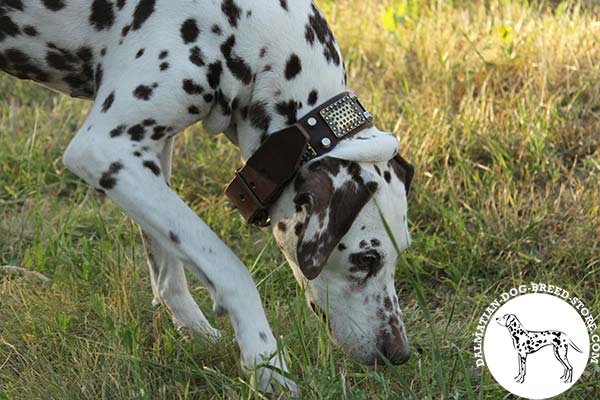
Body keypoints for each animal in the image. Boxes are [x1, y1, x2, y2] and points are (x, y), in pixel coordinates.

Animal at [0, 0, 412, 394]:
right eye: (366, 259)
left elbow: (167, 271)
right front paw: (265, 362)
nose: (399, 354)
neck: (241, 27)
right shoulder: (105, 148)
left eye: (399, 254)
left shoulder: (147, 154)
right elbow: (230, 267)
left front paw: (197, 333)